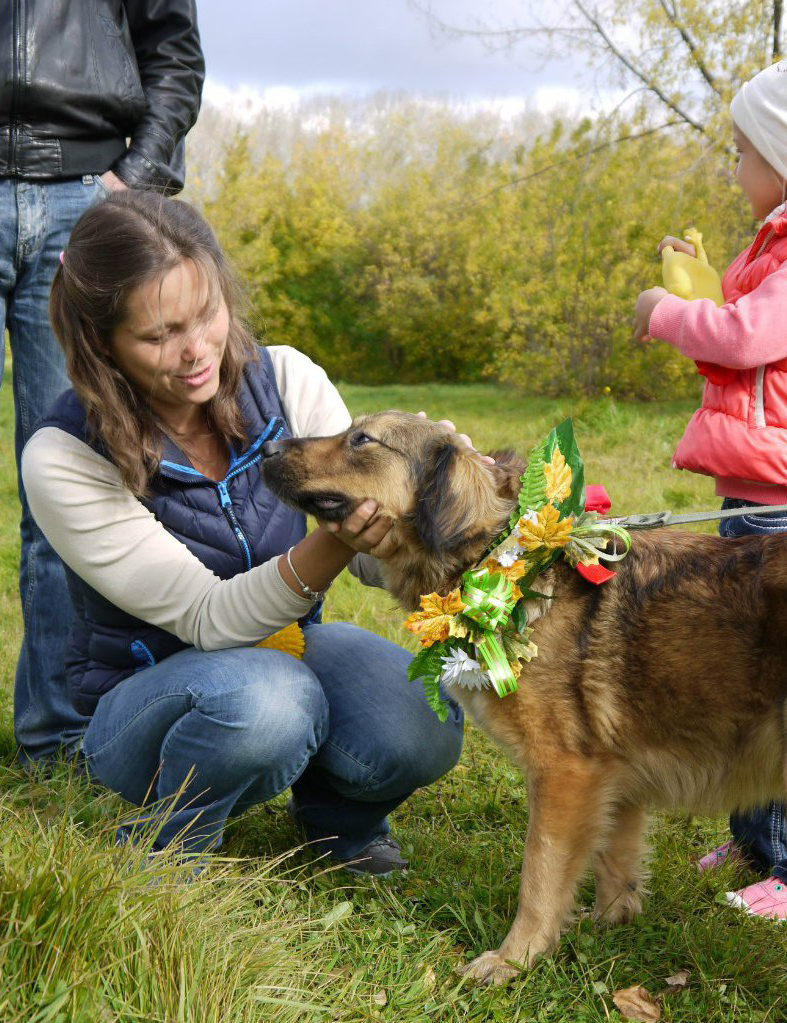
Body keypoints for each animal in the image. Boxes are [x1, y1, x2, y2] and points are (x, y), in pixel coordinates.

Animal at [261, 411, 785, 986]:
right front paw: (604, 928)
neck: (499, 557)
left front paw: (515, 958)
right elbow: (615, 864)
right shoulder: (613, 774)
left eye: (361, 439)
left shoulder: (565, 773)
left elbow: (540, 872)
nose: (265, 450)